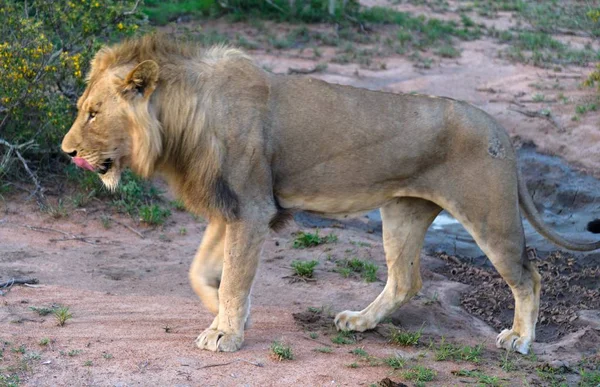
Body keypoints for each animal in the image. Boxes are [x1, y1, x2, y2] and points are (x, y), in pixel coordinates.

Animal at [61, 36, 600, 354]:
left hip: (488, 215)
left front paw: (225, 332)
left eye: (92, 113)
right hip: (402, 212)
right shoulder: (231, 207)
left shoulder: (252, 208)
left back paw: (520, 339)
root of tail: (501, 129)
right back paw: (360, 322)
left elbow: (234, 275)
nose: (66, 152)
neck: (181, 119)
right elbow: (203, 271)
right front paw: (224, 312)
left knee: (528, 274)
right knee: (405, 280)